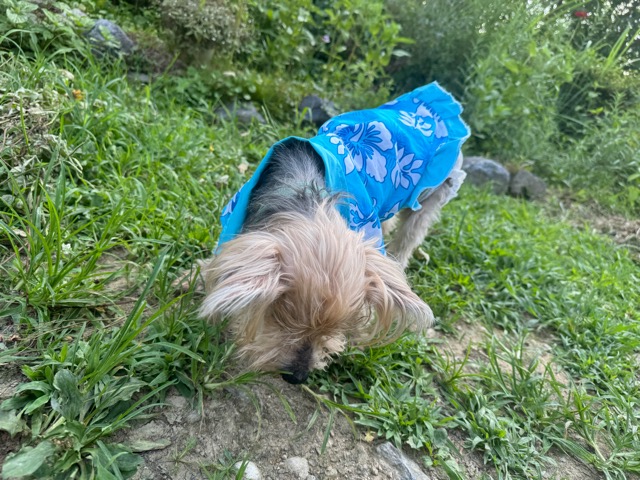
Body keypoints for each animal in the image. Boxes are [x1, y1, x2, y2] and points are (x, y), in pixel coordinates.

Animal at [200, 82, 469, 384]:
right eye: (278, 317)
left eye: (335, 327)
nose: (298, 376)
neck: (307, 198)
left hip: (433, 192)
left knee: (410, 234)